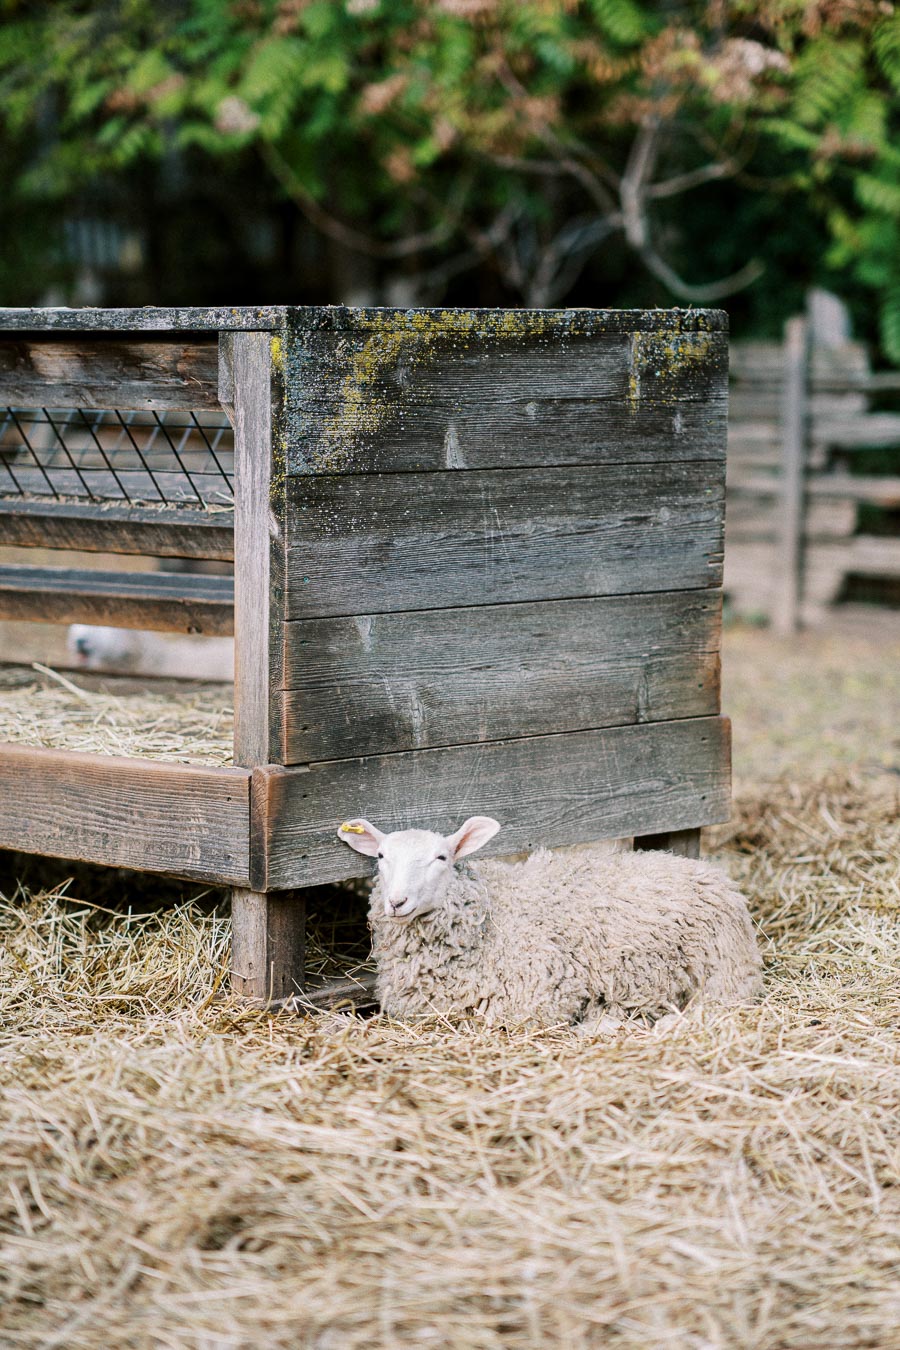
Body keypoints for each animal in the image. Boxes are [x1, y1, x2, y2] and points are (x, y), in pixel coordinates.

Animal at [338, 816, 763, 1028]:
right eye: (380, 857)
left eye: (441, 858)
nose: (397, 902)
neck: (492, 916)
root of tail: (716, 878)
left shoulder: (538, 1000)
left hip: (719, 975)